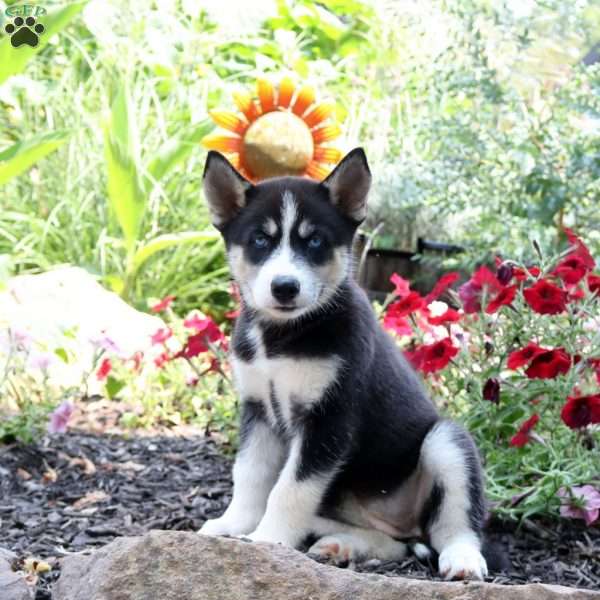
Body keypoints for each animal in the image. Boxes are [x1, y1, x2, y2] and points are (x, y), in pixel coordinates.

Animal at [199, 149, 490, 580]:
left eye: (316, 241)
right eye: (259, 240)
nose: (284, 288)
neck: (281, 337)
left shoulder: (330, 419)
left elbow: (289, 488)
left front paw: (268, 539)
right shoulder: (258, 410)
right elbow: (250, 475)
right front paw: (234, 524)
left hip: (446, 442)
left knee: (453, 526)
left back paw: (463, 560)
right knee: (394, 543)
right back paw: (341, 545)